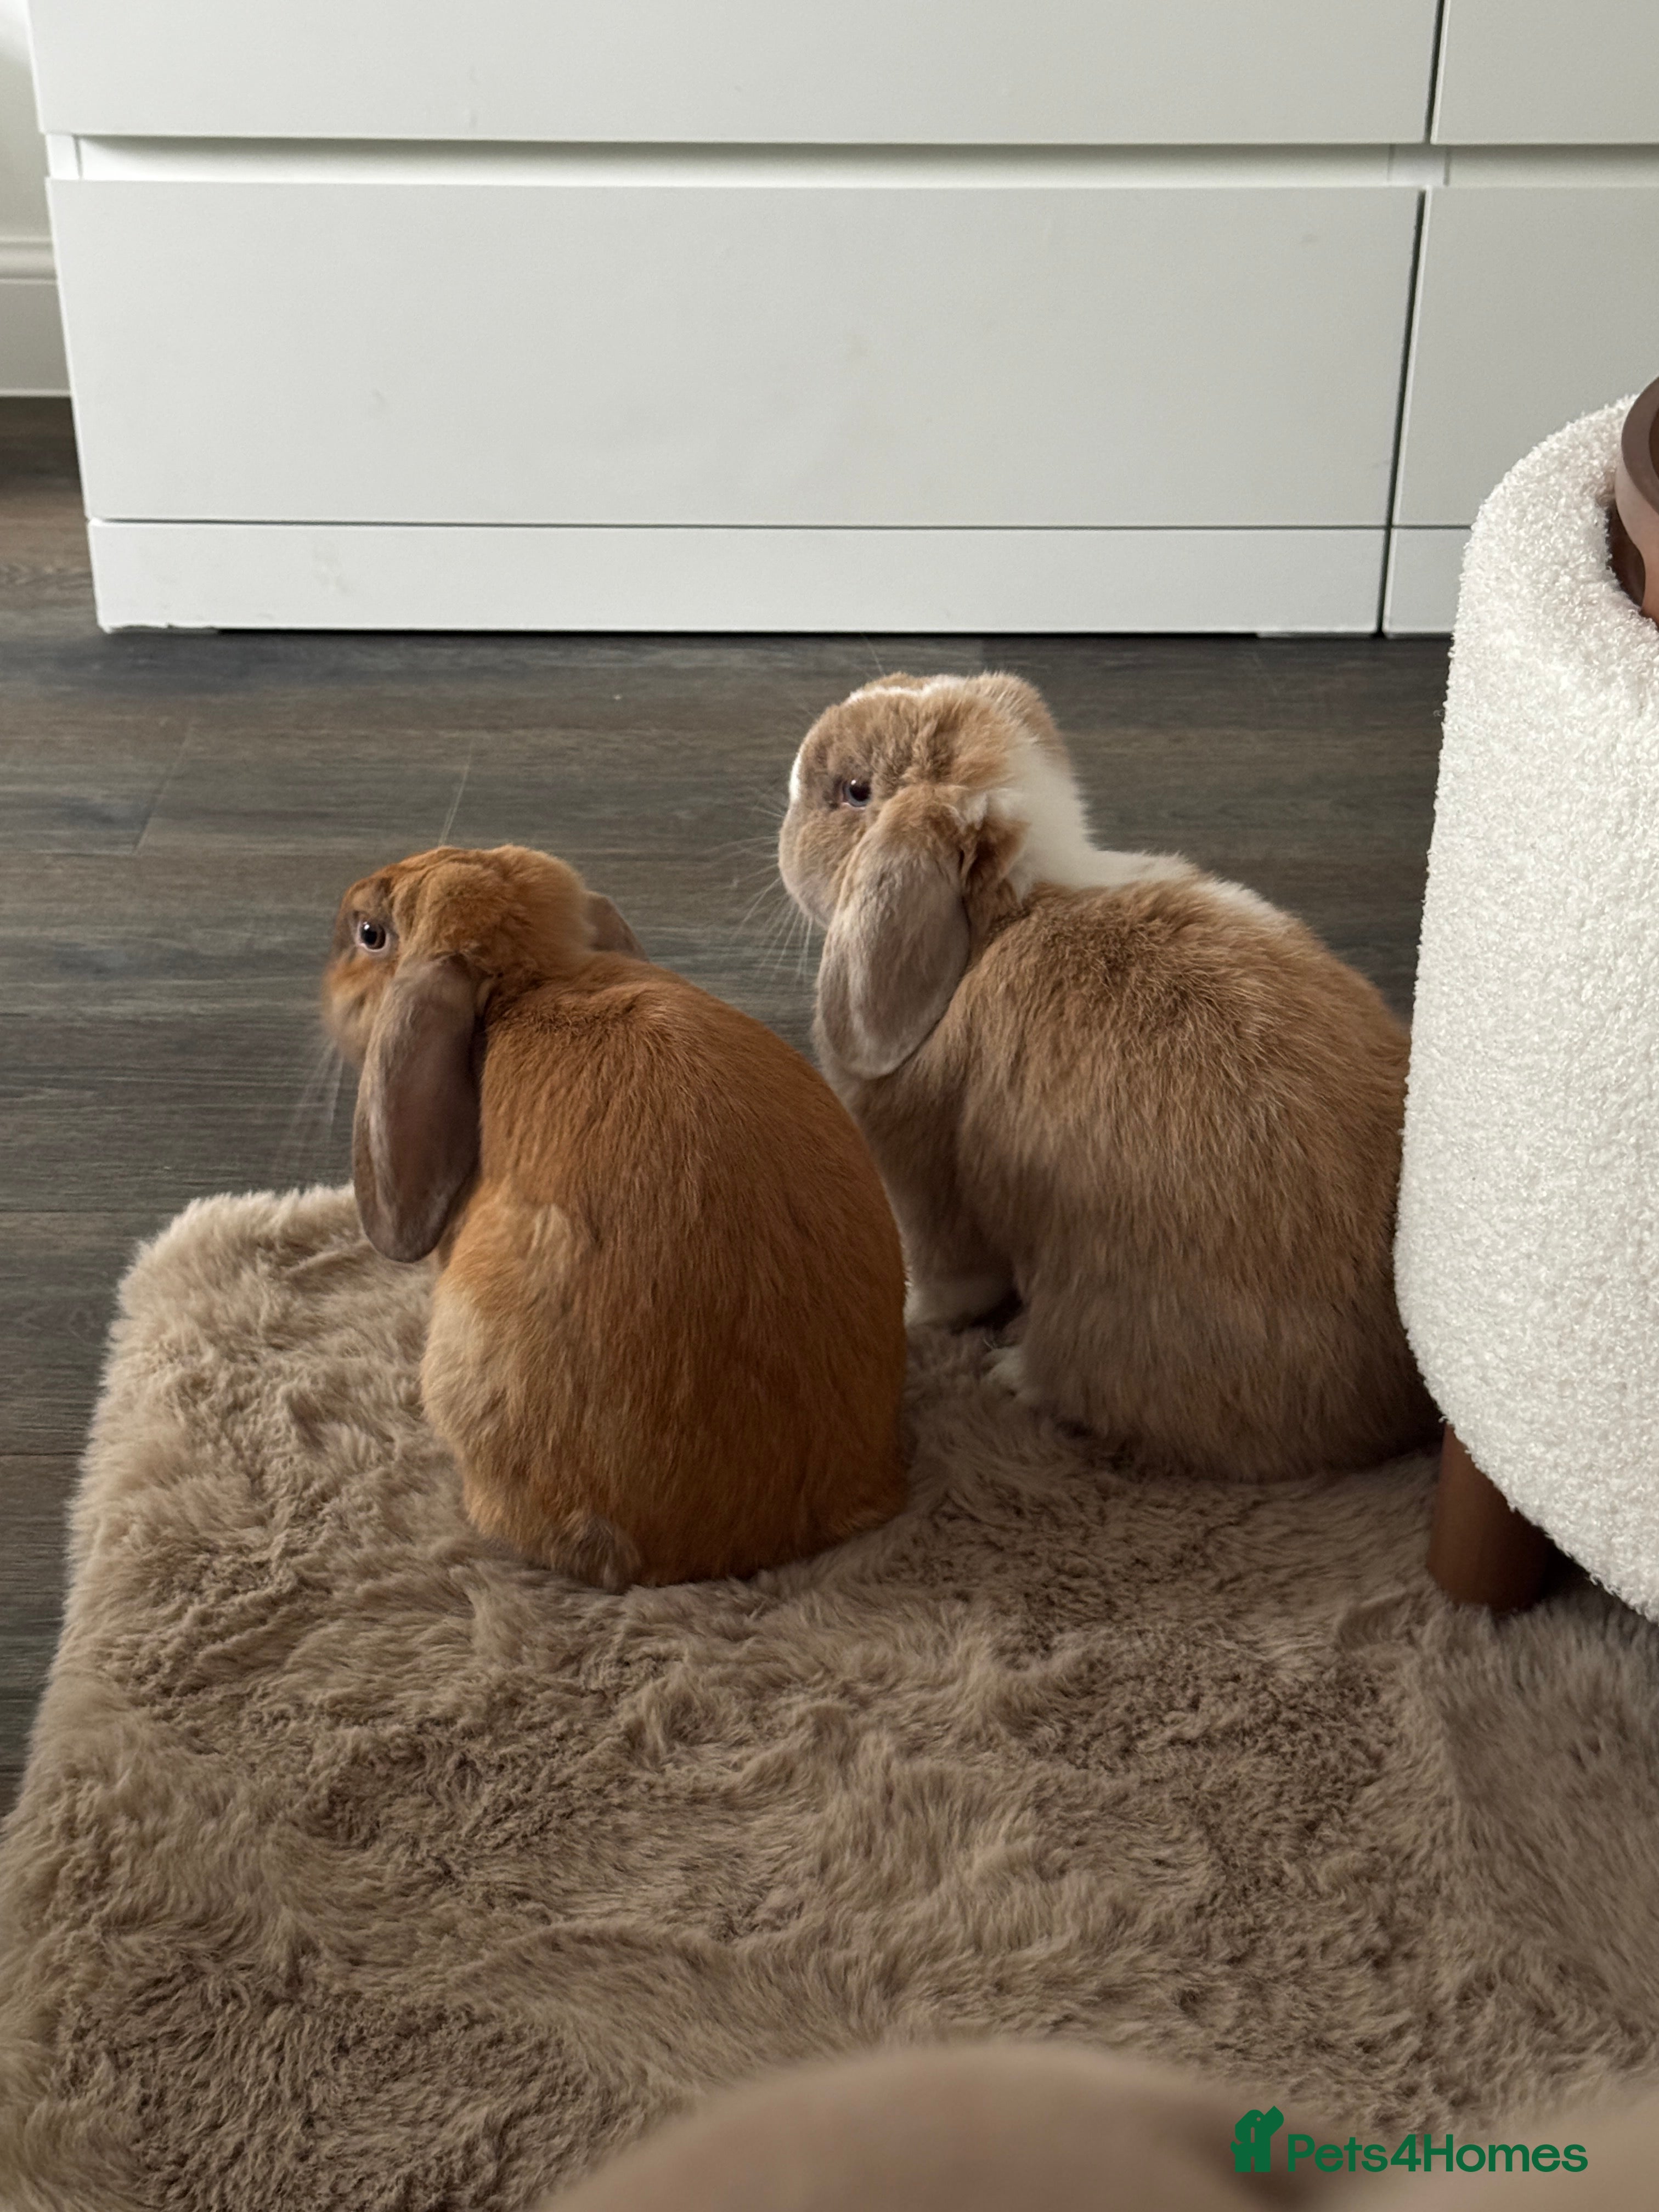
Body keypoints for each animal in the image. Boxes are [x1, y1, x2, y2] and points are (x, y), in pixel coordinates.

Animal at [778, 673, 1438, 1483]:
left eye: (855, 793)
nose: (788, 785)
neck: (1004, 912)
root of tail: (1397, 1400)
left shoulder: (927, 1192)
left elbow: (949, 1285)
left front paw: (908, 1313)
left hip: (1102, 1312)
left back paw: (1011, 1371)